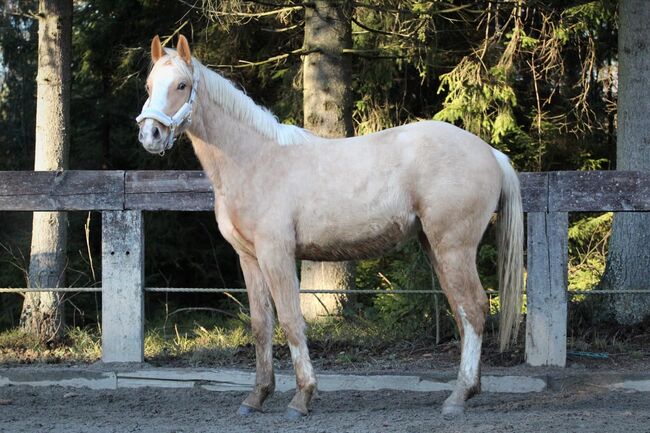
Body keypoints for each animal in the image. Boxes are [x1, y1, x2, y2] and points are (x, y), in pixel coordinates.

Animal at [135, 36, 520, 418]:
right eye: (149, 86)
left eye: (182, 85)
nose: (150, 134)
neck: (255, 160)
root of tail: (491, 154)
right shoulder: (249, 258)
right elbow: (261, 326)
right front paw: (256, 397)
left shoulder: (277, 254)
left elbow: (291, 321)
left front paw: (301, 398)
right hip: (435, 247)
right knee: (462, 311)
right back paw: (470, 390)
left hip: (454, 247)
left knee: (474, 308)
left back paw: (457, 397)